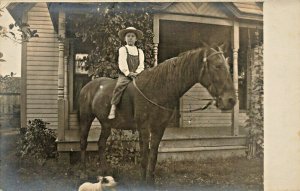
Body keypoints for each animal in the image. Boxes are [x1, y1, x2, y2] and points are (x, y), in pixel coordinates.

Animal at [78, 44, 236, 184]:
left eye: (228, 67)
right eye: (217, 66)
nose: (231, 100)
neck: (157, 89)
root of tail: (87, 87)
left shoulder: (159, 128)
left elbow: (153, 154)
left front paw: (151, 181)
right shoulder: (144, 128)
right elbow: (144, 156)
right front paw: (143, 181)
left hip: (106, 124)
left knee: (101, 143)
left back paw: (105, 173)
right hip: (86, 119)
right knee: (83, 142)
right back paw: (83, 173)